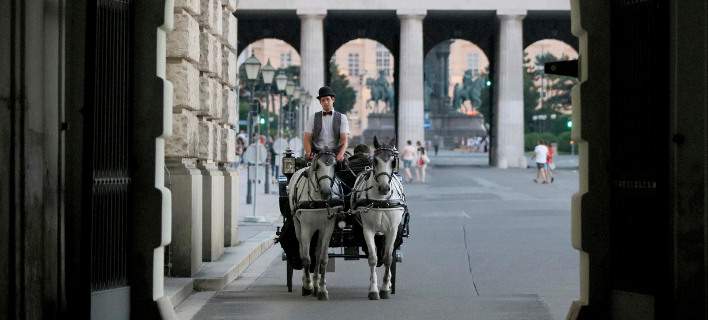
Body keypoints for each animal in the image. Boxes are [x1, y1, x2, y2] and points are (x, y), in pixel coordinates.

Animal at [286, 149, 344, 300]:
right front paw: (307, 286)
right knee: (302, 250)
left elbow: (322, 259)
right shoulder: (306, 228)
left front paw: (322, 289)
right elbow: (306, 258)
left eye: (335, 166)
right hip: (298, 225)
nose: (326, 192)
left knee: (317, 255)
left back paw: (317, 285)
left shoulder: (327, 228)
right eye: (317, 166)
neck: (318, 200)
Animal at [352, 137, 406, 300]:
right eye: (375, 161)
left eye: (393, 161)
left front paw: (385, 288)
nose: (384, 188)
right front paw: (374, 290)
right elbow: (373, 258)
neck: (381, 200)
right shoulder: (368, 230)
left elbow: (388, 257)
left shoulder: (392, 230)